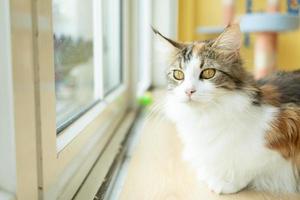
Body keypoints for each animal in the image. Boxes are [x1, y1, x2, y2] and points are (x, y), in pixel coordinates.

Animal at [154, 24, 300, 195]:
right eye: (178, 74)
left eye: (208, 73)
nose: (189, 91)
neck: (206, 116)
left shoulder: (287, 127)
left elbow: (250, 166)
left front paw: (226, 183)